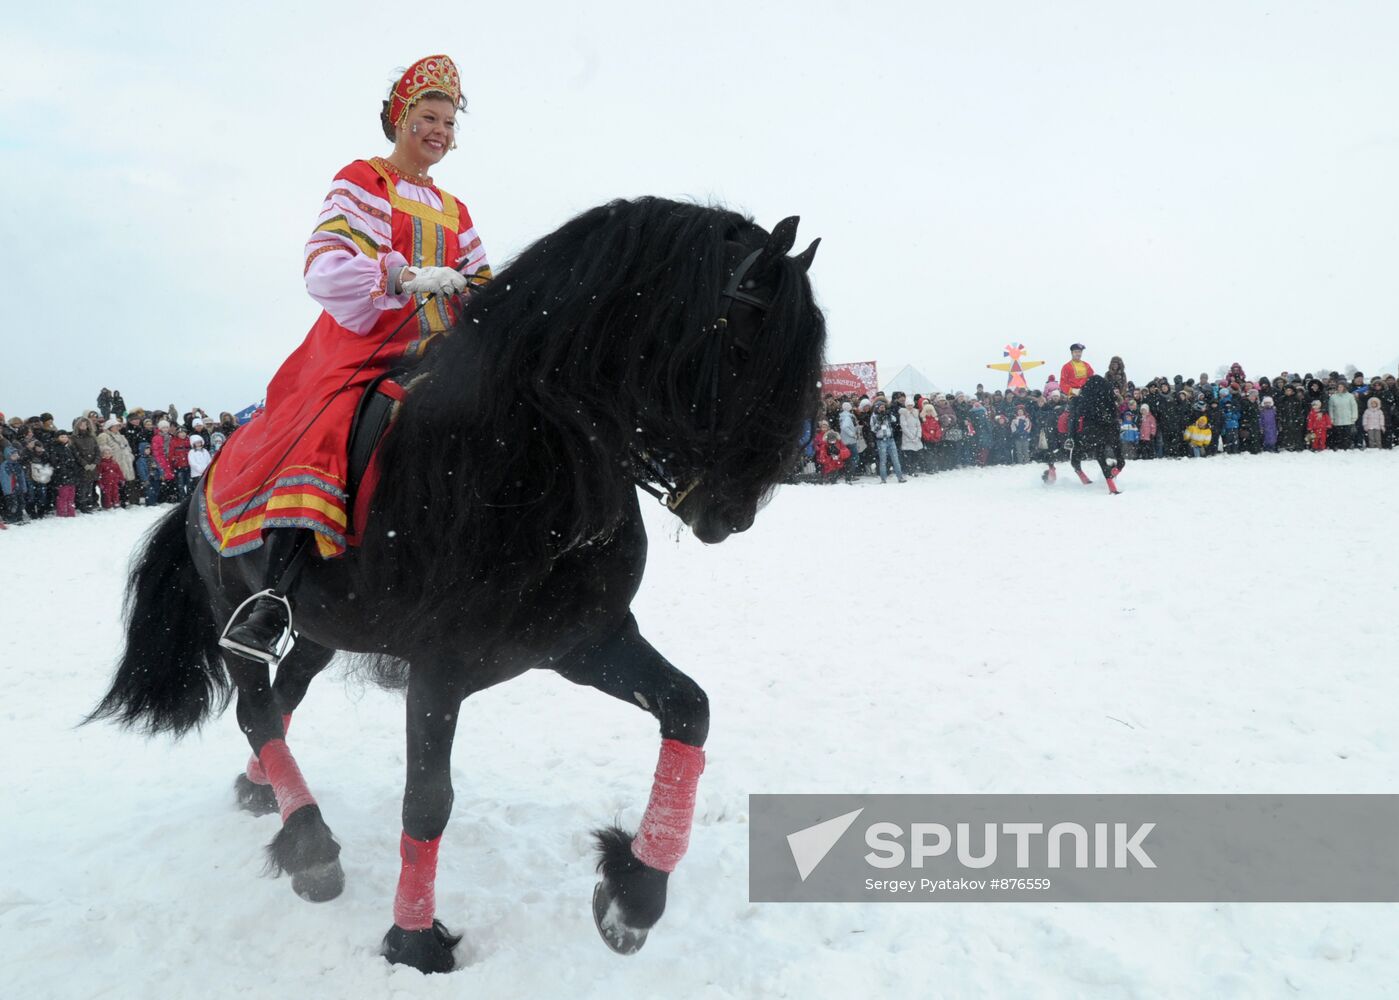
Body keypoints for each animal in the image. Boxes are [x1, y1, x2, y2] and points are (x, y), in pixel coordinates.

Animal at [87, 200, 822, 973]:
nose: (732, 511)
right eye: (744, 348)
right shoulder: (441, 668)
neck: (525, 460)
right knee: (256, 712)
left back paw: (265, 794)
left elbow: (688, 709)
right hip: (237, 613)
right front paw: (413, 940)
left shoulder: (585, 643)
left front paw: (634, 893)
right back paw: (311, 846)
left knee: (282, 704)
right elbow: (427, 799)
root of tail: (201, 484)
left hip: (316, 631)